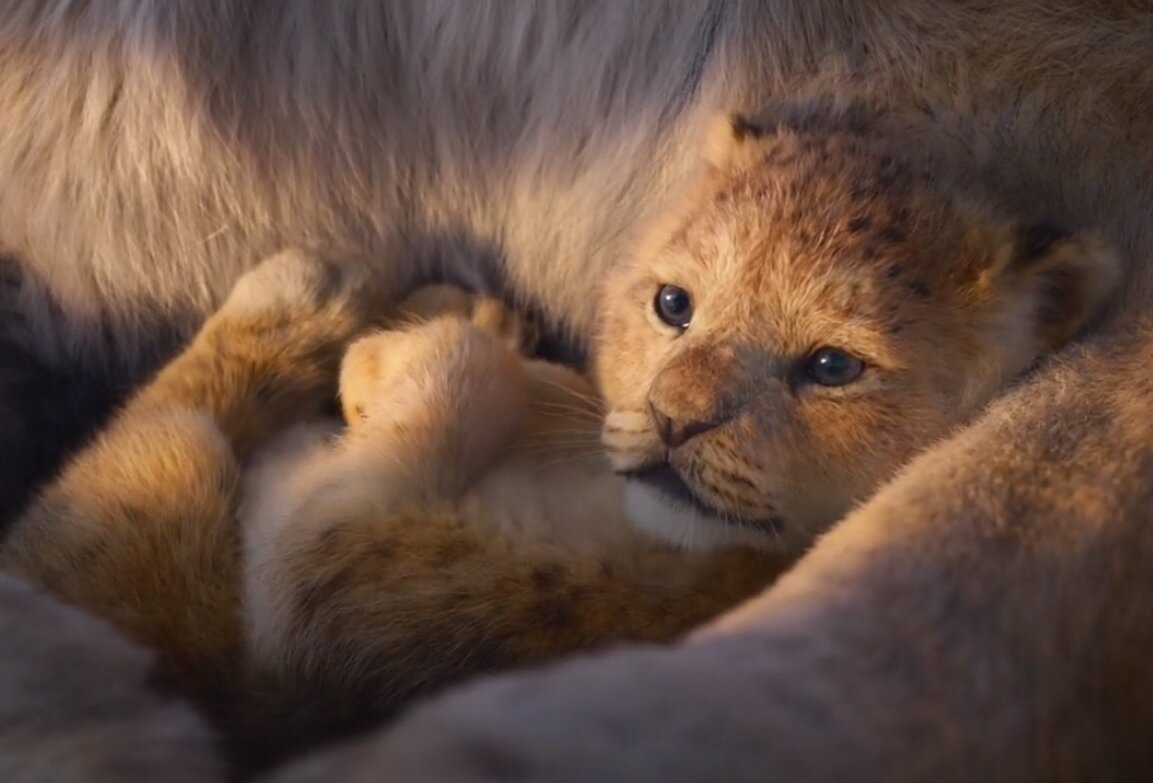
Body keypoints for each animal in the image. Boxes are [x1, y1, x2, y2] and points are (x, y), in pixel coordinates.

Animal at [2, 1, 1153, 781]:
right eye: (673, 304)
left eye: (832, 367)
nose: (675, 419)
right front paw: (455, 323)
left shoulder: (336, 577)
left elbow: (408, 416)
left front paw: (428, 342)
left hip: (169, 533)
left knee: (164, 437)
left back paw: (312, 289)